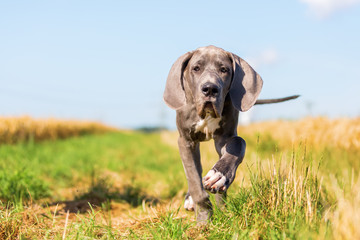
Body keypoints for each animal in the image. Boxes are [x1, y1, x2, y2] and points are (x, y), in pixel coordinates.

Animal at [164, 45, 298, 223]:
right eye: (196, 68)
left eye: (224, 70)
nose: (210, 89)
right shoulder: (186, 141)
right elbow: (193, 177)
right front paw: (203, 219)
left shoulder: (224, 138)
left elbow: (238, 143)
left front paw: (219, 178)